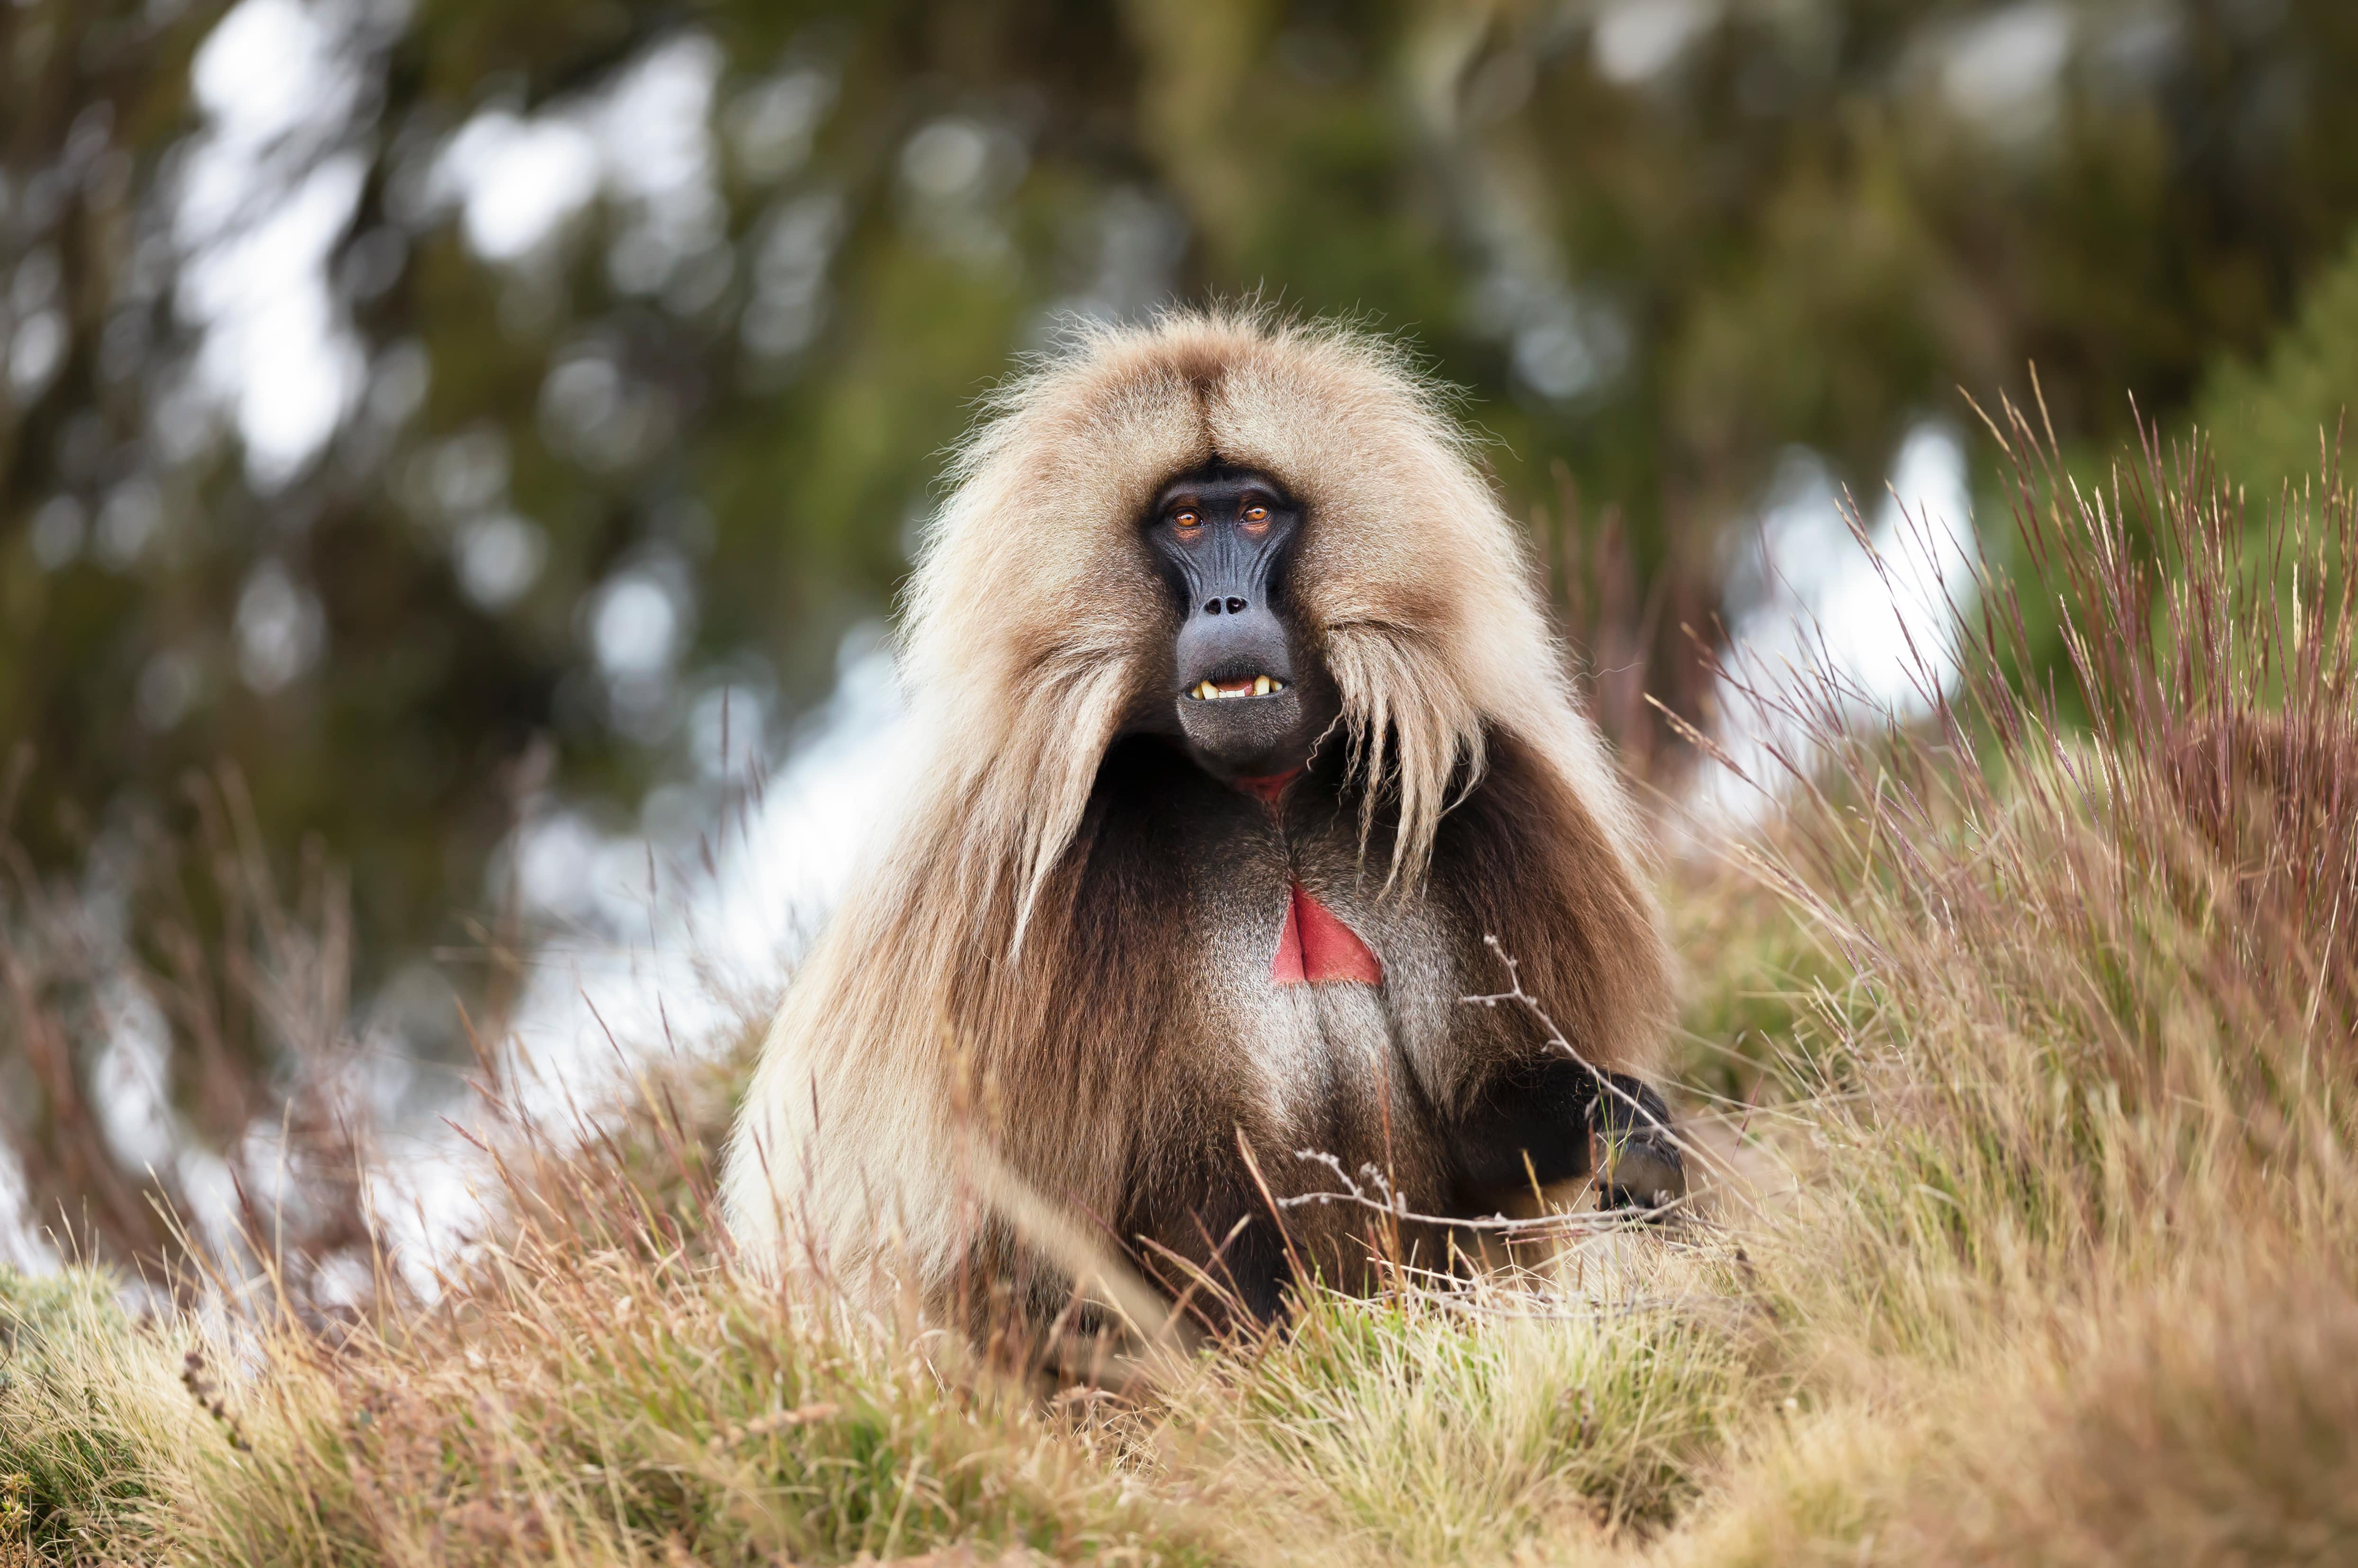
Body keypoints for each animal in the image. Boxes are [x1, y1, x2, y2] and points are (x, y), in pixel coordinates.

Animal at [720, 310, 1681, 1334]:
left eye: (1256, 514)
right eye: (1184, 520)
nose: (1227, 603)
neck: (1266, 803)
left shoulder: (1486, 786)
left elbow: (1481, 1120)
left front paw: (1624, 1128)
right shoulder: (997, 878)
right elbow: (1006, 1236)